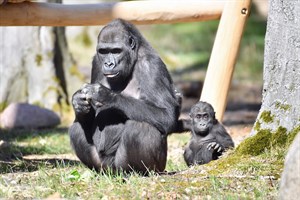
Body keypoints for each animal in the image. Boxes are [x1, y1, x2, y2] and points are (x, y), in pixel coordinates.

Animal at [69, 19, 179, 174]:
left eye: (116, 51)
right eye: (103, 51)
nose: (108, 64)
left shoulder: (151, 65)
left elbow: (167, 115)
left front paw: (106, 96)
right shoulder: (96, 61)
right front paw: (78, 102)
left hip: (140, 166)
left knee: (140, 127)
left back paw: (138, 172)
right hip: (103, 165)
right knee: (76, 128)